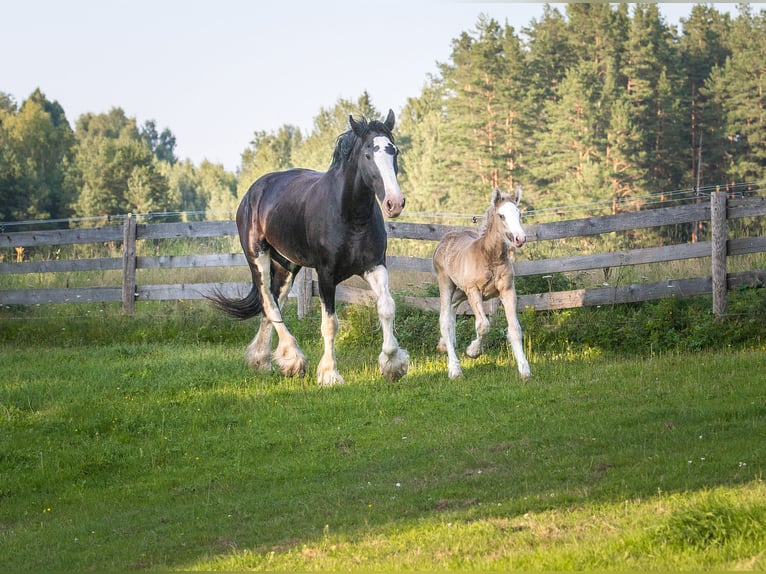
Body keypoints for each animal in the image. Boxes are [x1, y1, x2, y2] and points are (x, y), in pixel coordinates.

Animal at [212, 109, 408, 388]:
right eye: (368, 154)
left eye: (395, 151)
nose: (395, 203)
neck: (350, 216)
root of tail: (254, 191)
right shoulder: (326, 274)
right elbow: (330, 324)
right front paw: (329, 374)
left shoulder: (374, 266)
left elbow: (387, 307)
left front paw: (393, 364)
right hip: (257, 257)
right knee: (269, 302)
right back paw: (292, 359)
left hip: (287, 265)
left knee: (274, 301)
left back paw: (263, 360)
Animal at [432, 187, 536, 380]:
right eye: (501, 215)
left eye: (519, 214)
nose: (520, 238)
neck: (490, 257)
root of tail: (445, 239)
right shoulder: (473, 290)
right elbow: (483, 325)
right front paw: (473, 351)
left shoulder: (507, 290)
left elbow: (514, 329)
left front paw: (525, 370)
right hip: (447, 283)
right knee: (444, 319)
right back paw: (455, 369)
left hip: (461, 291)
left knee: (452, 310)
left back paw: (443, 345)